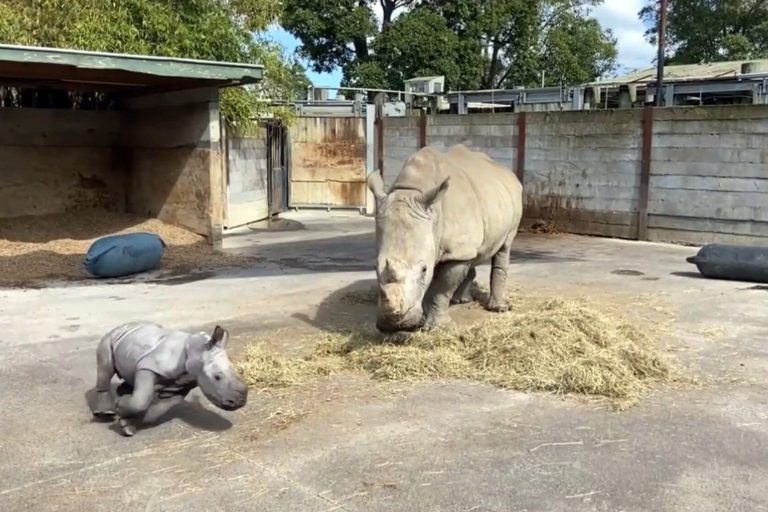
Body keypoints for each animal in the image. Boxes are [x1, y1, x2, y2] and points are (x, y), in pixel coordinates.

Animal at [89, 321, 248, 436]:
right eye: (217, 377)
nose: (240, 402)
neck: (196, 352)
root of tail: (121, 326)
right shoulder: (148, 366)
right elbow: (141, 401)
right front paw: (120, 408)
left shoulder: (181, 384)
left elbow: (159, 409)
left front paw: (129, 422)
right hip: (108, 338)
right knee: (106, 367)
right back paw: (106, 413)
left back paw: (124, 393)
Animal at [367, 144, 523, 334]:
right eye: (375, 267)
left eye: (423, 269)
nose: (393, 325)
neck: (412, 190)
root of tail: (507, 171)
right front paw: (423, 317)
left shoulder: (454, 250)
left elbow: (442, 288)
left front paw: (436, 327)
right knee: (472, 255)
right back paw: (461, 300)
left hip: (512, 206)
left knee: (504, 247)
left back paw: (499, 308)